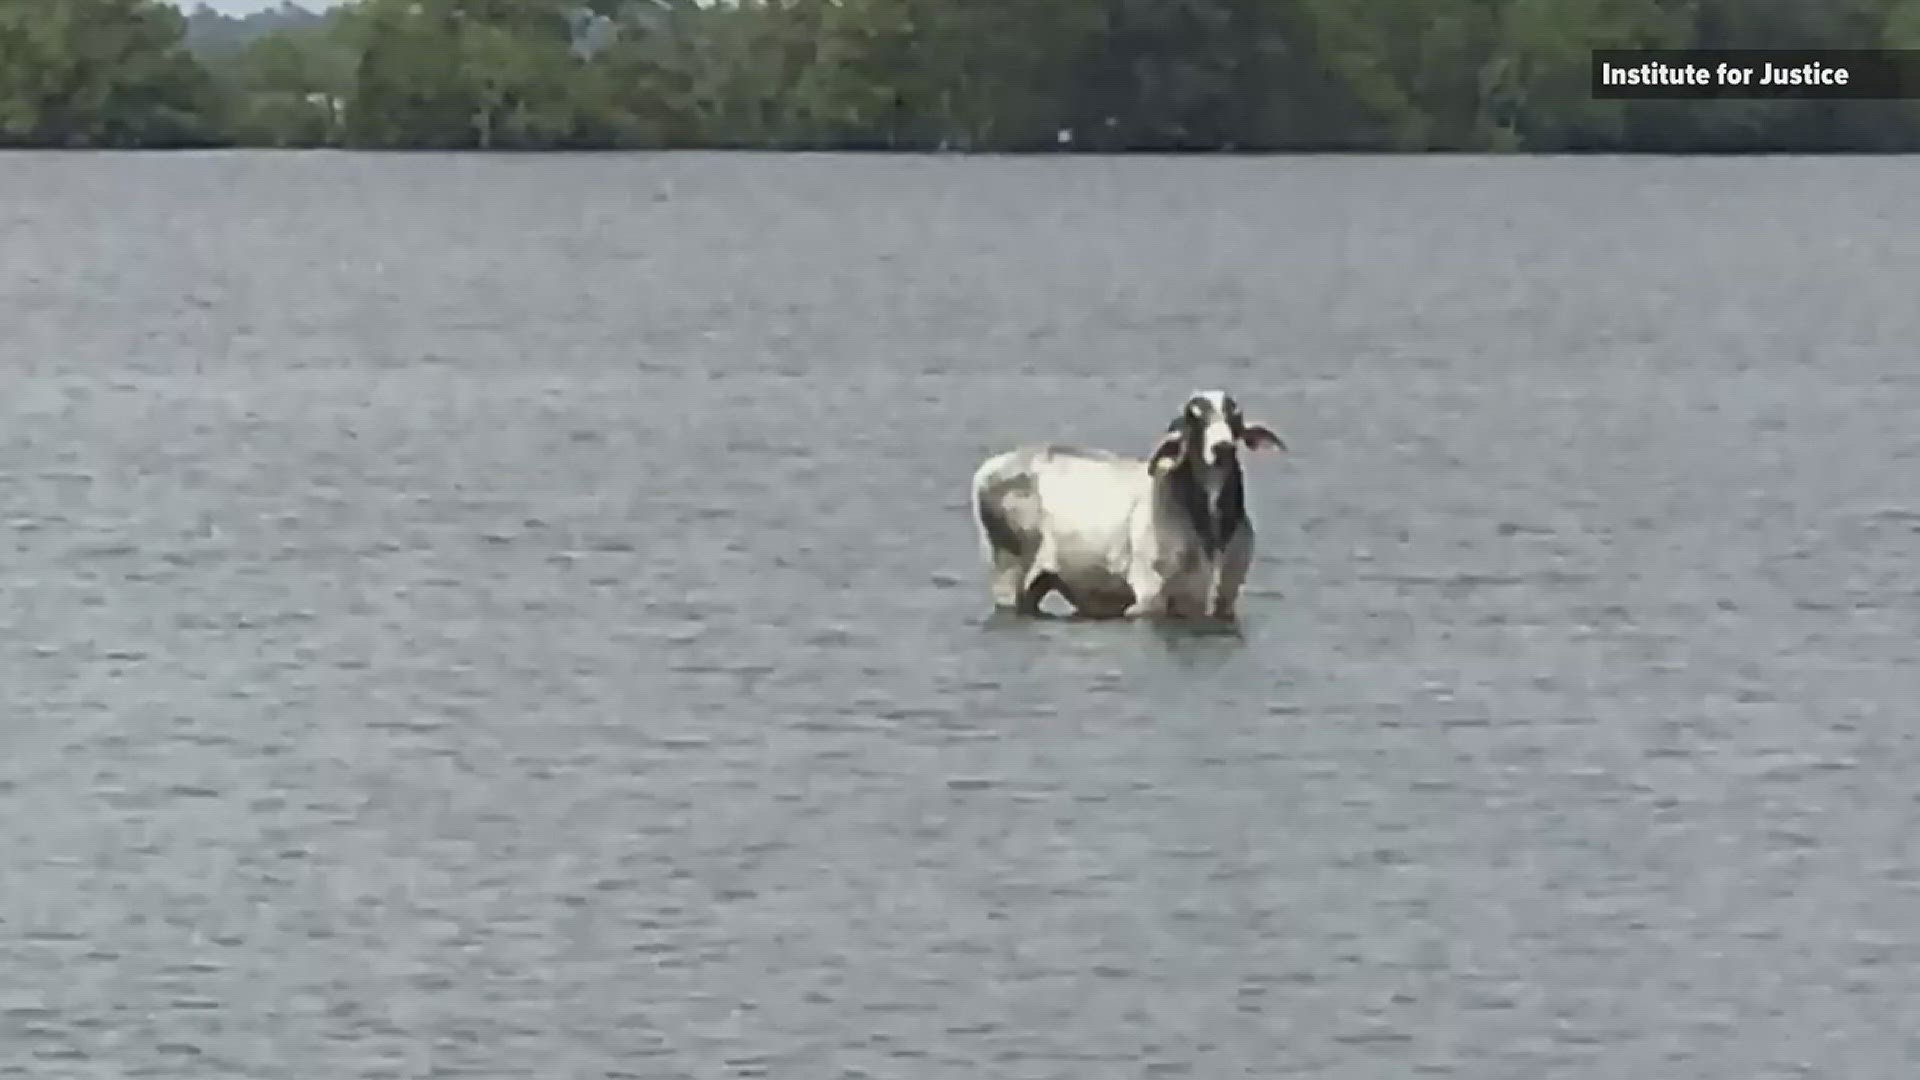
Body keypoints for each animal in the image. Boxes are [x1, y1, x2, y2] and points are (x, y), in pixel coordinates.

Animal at [975, 390, 1290, 618]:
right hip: (1009, 572)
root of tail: (992, 466)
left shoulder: (1224, 594)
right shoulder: (1151, 595)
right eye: (1194, 417)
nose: (1222, 447)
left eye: (1233, 417)